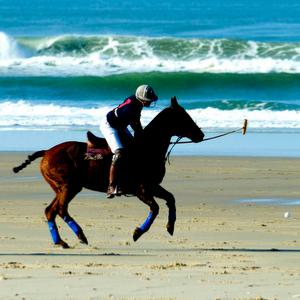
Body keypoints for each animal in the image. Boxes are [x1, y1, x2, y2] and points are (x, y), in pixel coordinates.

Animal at [12, 96, 205, 248]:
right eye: (184, 117)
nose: (201, 135)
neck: (147, 148)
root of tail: (46, 152)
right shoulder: (141, 189)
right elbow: (155, 208)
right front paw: (137, 232)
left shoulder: (152, 186)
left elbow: (171, 199)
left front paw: (170, 227)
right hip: (69, 186)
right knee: (60, 209)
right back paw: (81, 235)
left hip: (60, 188)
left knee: (50, 211)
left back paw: (61, 241)